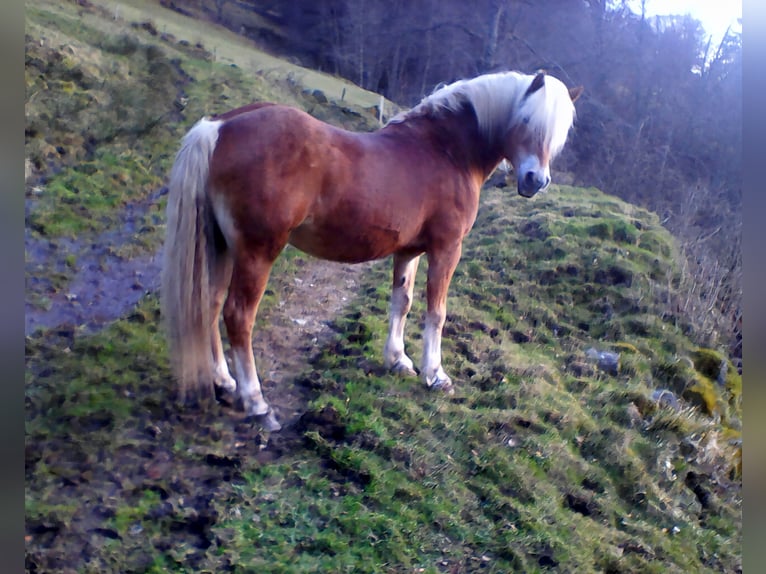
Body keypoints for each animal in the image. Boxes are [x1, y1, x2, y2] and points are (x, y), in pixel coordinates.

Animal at [162, 71, 584, 432]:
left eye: (560, 134)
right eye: (526, 119)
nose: (535, 181)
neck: (447, 150)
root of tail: (220, 127)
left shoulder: (409, 251)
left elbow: (403, 301)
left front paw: (398, 360)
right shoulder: (447, 248)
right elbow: (436, 312)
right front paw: (436, 375)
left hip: (221, 245)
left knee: (210, 304)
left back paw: (224, 382)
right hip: (256, 252)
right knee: (238, 315)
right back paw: (256, 402)